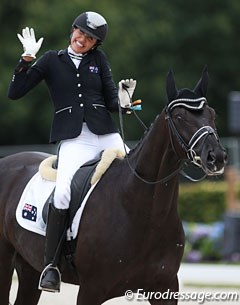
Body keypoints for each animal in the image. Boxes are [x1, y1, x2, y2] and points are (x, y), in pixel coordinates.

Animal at [0, 67, 227, 302]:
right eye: (180, 117)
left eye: (212, 114)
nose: (216, 157)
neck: (144, 211)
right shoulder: (91, 289)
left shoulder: (166, 287)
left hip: (29, 266)